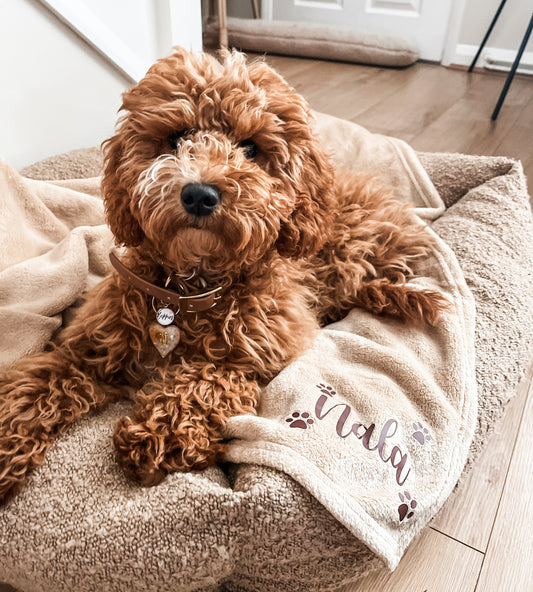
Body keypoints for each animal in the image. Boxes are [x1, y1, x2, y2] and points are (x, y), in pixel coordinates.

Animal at [0, 48, 446, 502]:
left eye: (250, 147)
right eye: (177, 137)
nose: (200, 194)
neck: (186, 290)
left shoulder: (254, 359)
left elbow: (206, 378)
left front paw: (159, 433)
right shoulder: (86, 350)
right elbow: (35, 384)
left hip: (347, 255)